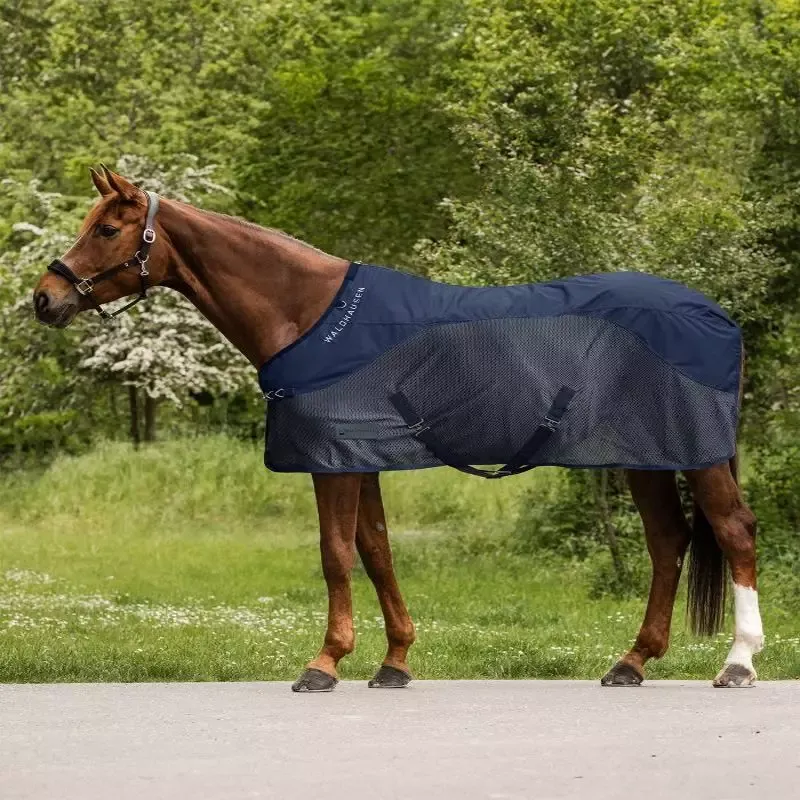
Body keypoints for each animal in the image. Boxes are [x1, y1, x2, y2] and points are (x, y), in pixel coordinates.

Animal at [32, 167, 764, 691]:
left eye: (106, 230)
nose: (45, 298)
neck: (308, 313)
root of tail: (715, 315)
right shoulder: (359, 458)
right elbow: (377, 551)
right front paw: (395, 662)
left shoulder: (331, 461)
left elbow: (335, 554)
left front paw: (324, 664)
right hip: (646, 456)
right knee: (668, 542)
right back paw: (631, 662)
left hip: (694, 455)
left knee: (733, 531)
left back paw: (738, 663)